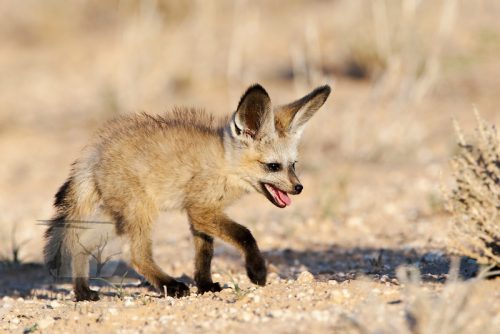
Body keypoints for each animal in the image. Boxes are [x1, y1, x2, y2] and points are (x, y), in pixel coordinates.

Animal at [44, 83, 332, 300]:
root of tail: (96, 149)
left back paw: (82, 291)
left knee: (78, 243)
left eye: (293, 165)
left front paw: (205, 285)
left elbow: (204, 254)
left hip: (113, 219)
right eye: (273, 166)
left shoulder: (201, 215)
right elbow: (246, 235)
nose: (299, 188)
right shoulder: (201, 210)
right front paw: (257, 271)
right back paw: (170, 286)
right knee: (137, 256)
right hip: (140, 213)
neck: (225, 165)